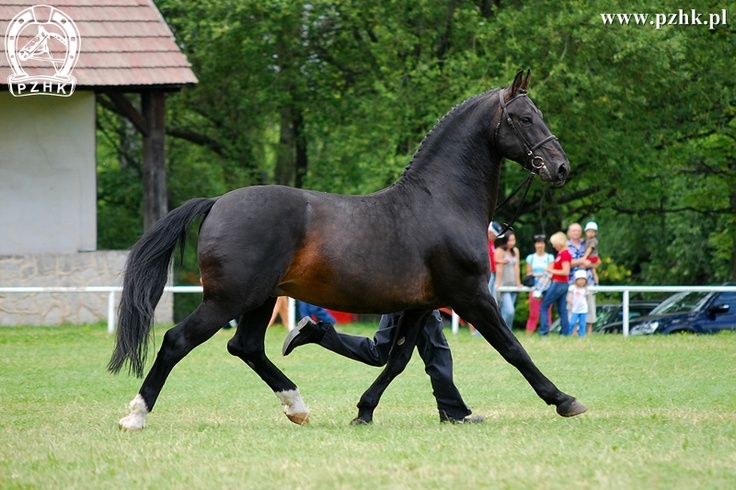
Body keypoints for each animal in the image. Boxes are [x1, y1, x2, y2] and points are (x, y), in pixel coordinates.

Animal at [108, 71, 588, 430]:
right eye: (524, 118)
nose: (560, 167)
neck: (441, 200)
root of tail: (217, 202)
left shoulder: (422, 304)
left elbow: (397, 360)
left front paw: (364, 411)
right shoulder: (471, 295)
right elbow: (513, 349)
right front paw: (565, 399)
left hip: (260, 299)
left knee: (245, 347)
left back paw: (297, 406)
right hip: (228, 298)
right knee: (177, 341)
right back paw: (135, 416)